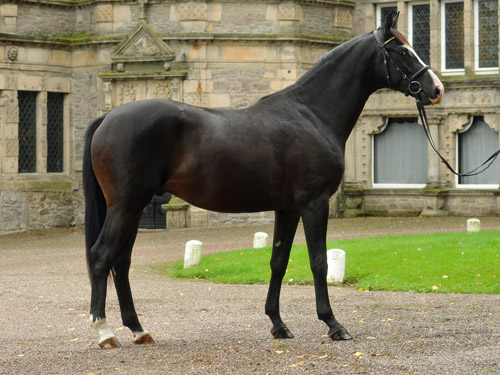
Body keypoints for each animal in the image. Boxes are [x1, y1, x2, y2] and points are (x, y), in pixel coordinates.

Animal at [84, 12, 444, 352]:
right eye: (401, 51)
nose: (436, 89)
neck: (311, 114)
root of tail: (108, 117)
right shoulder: (315, 205)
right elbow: (319, 262)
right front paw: (333, 324)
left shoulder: (287, 209)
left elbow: (278, 262)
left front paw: (278, 324)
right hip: (126, 205)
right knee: (102, 256)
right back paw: (105, 332)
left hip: (134, 207)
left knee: (121, 262)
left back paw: (138, 330)